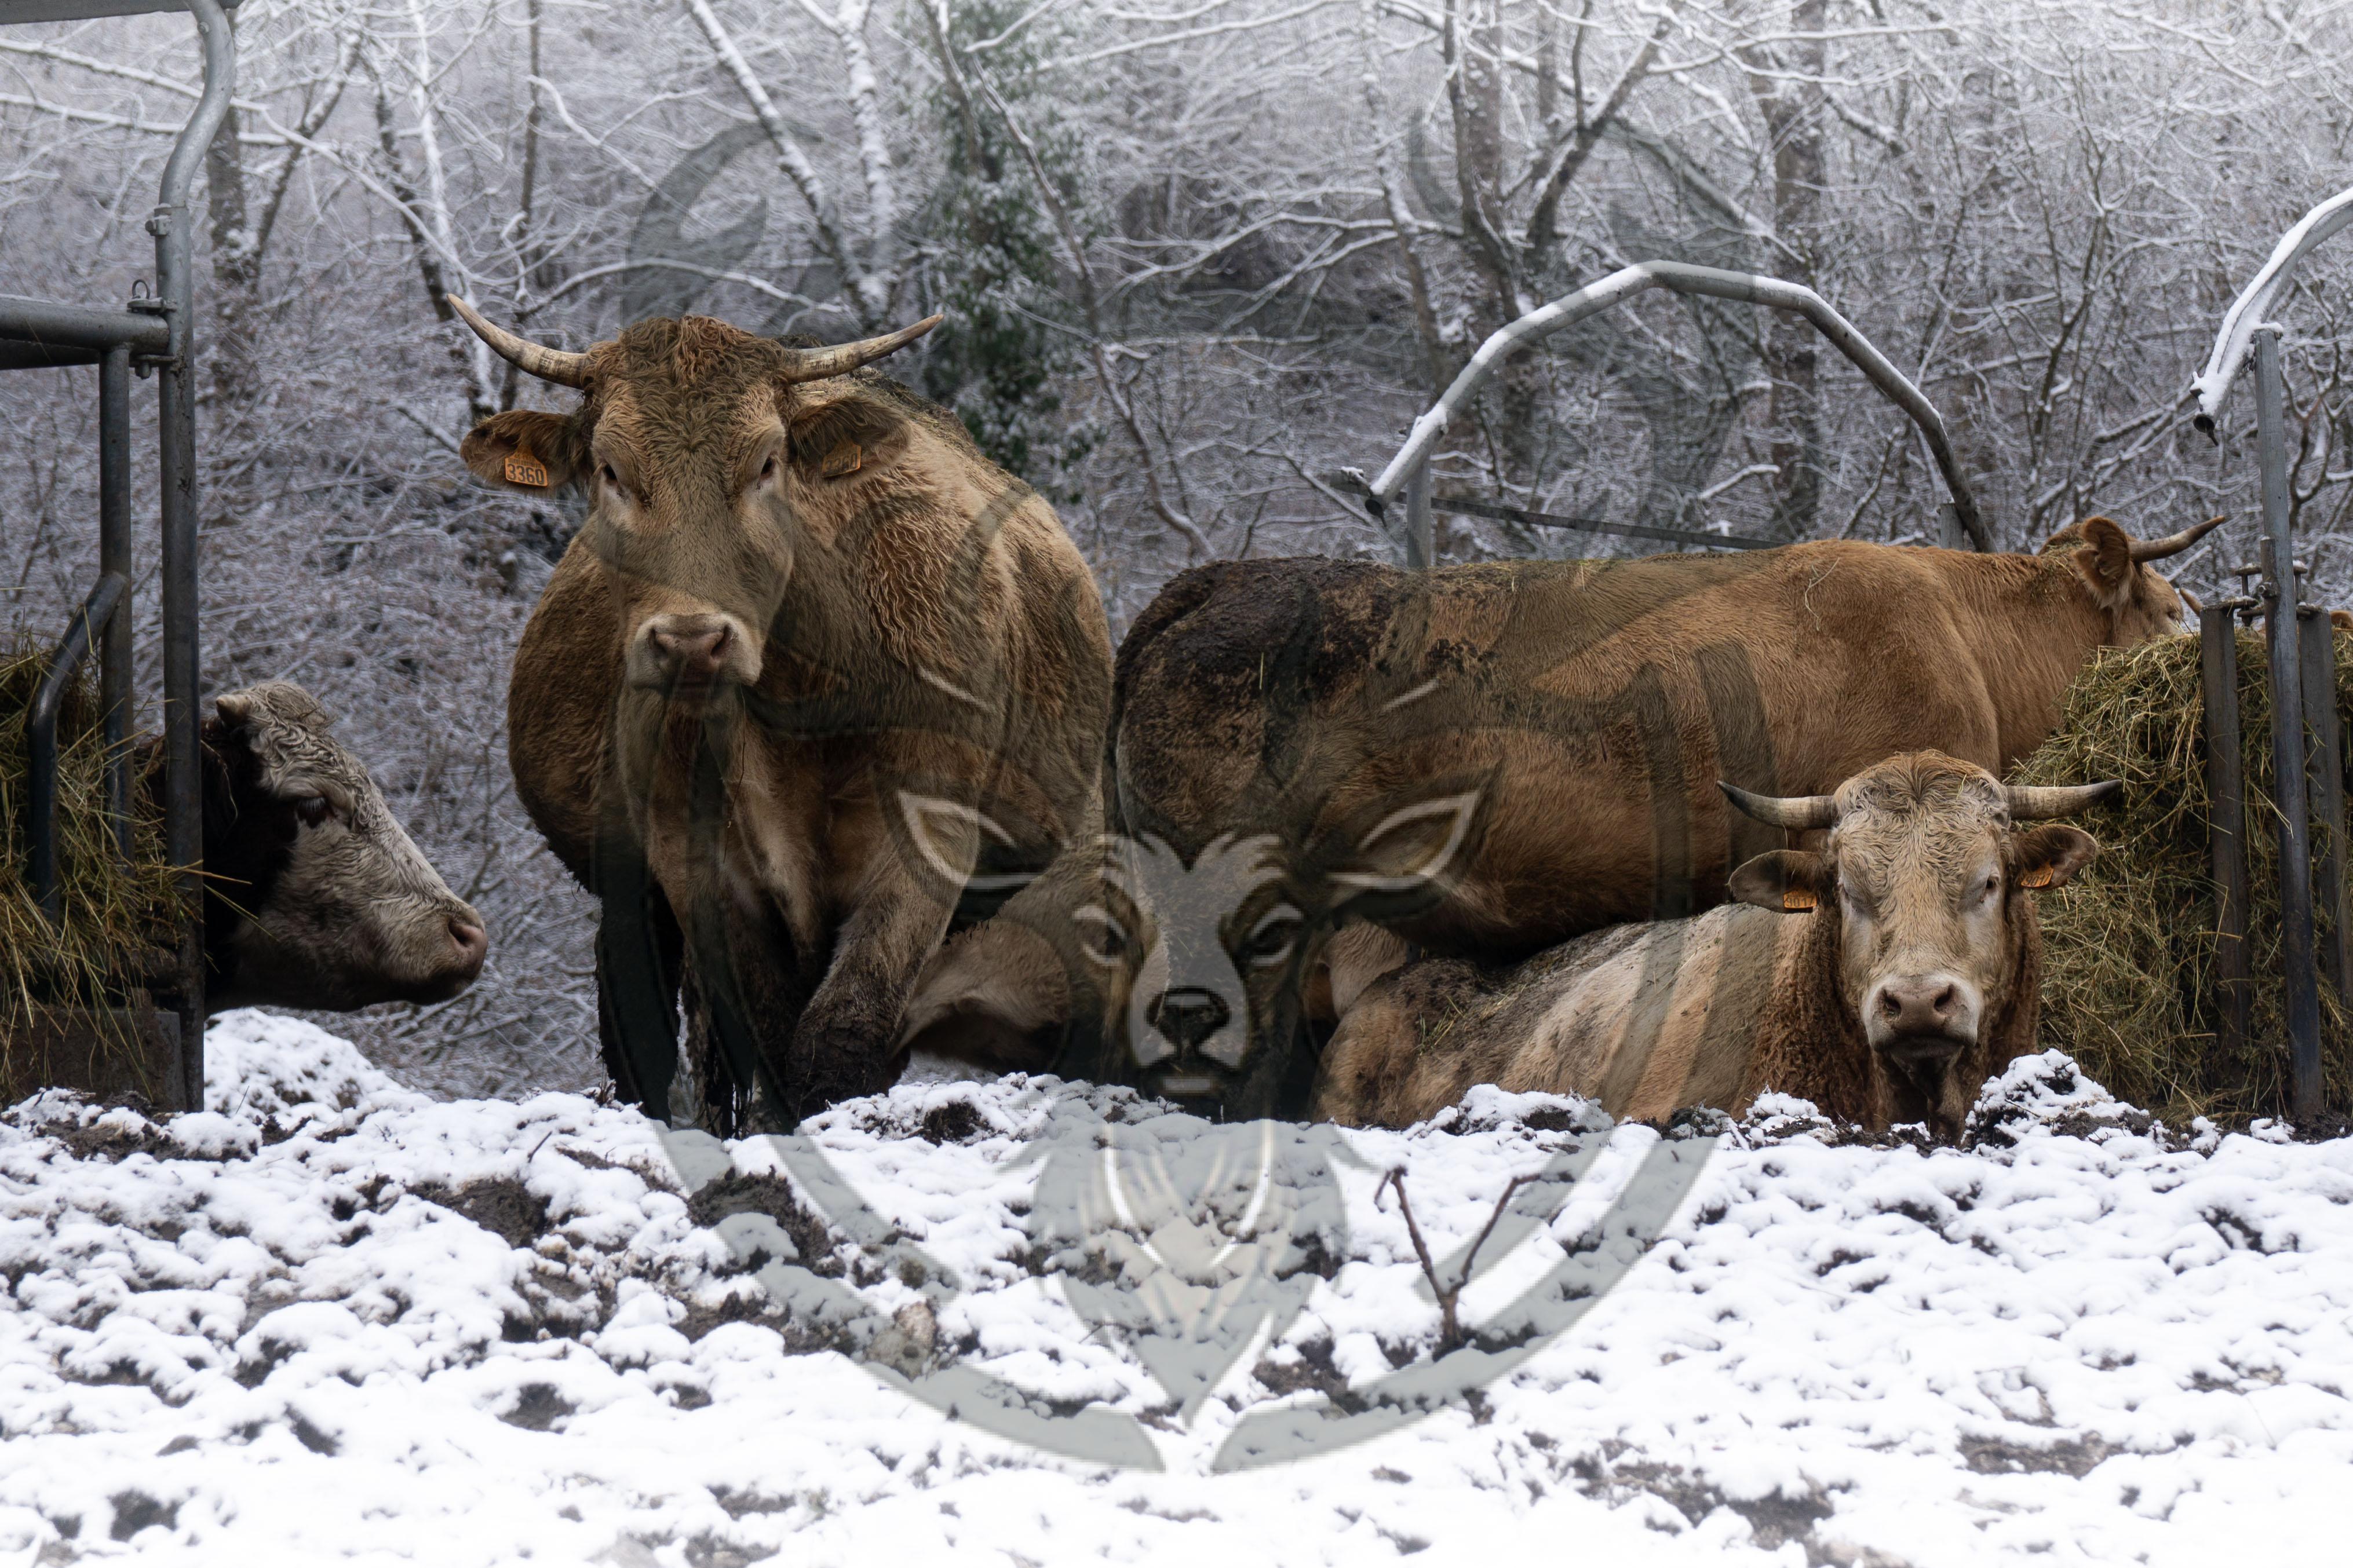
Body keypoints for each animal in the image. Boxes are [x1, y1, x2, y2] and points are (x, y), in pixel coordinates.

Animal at [447, 301, 1113, 1130]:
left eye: (766, 462)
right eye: (609, 469)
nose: (691, 641)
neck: (808, 701)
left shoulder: (928, 843)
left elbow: (839, 1034)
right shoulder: (702, 870)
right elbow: (764, 1035)